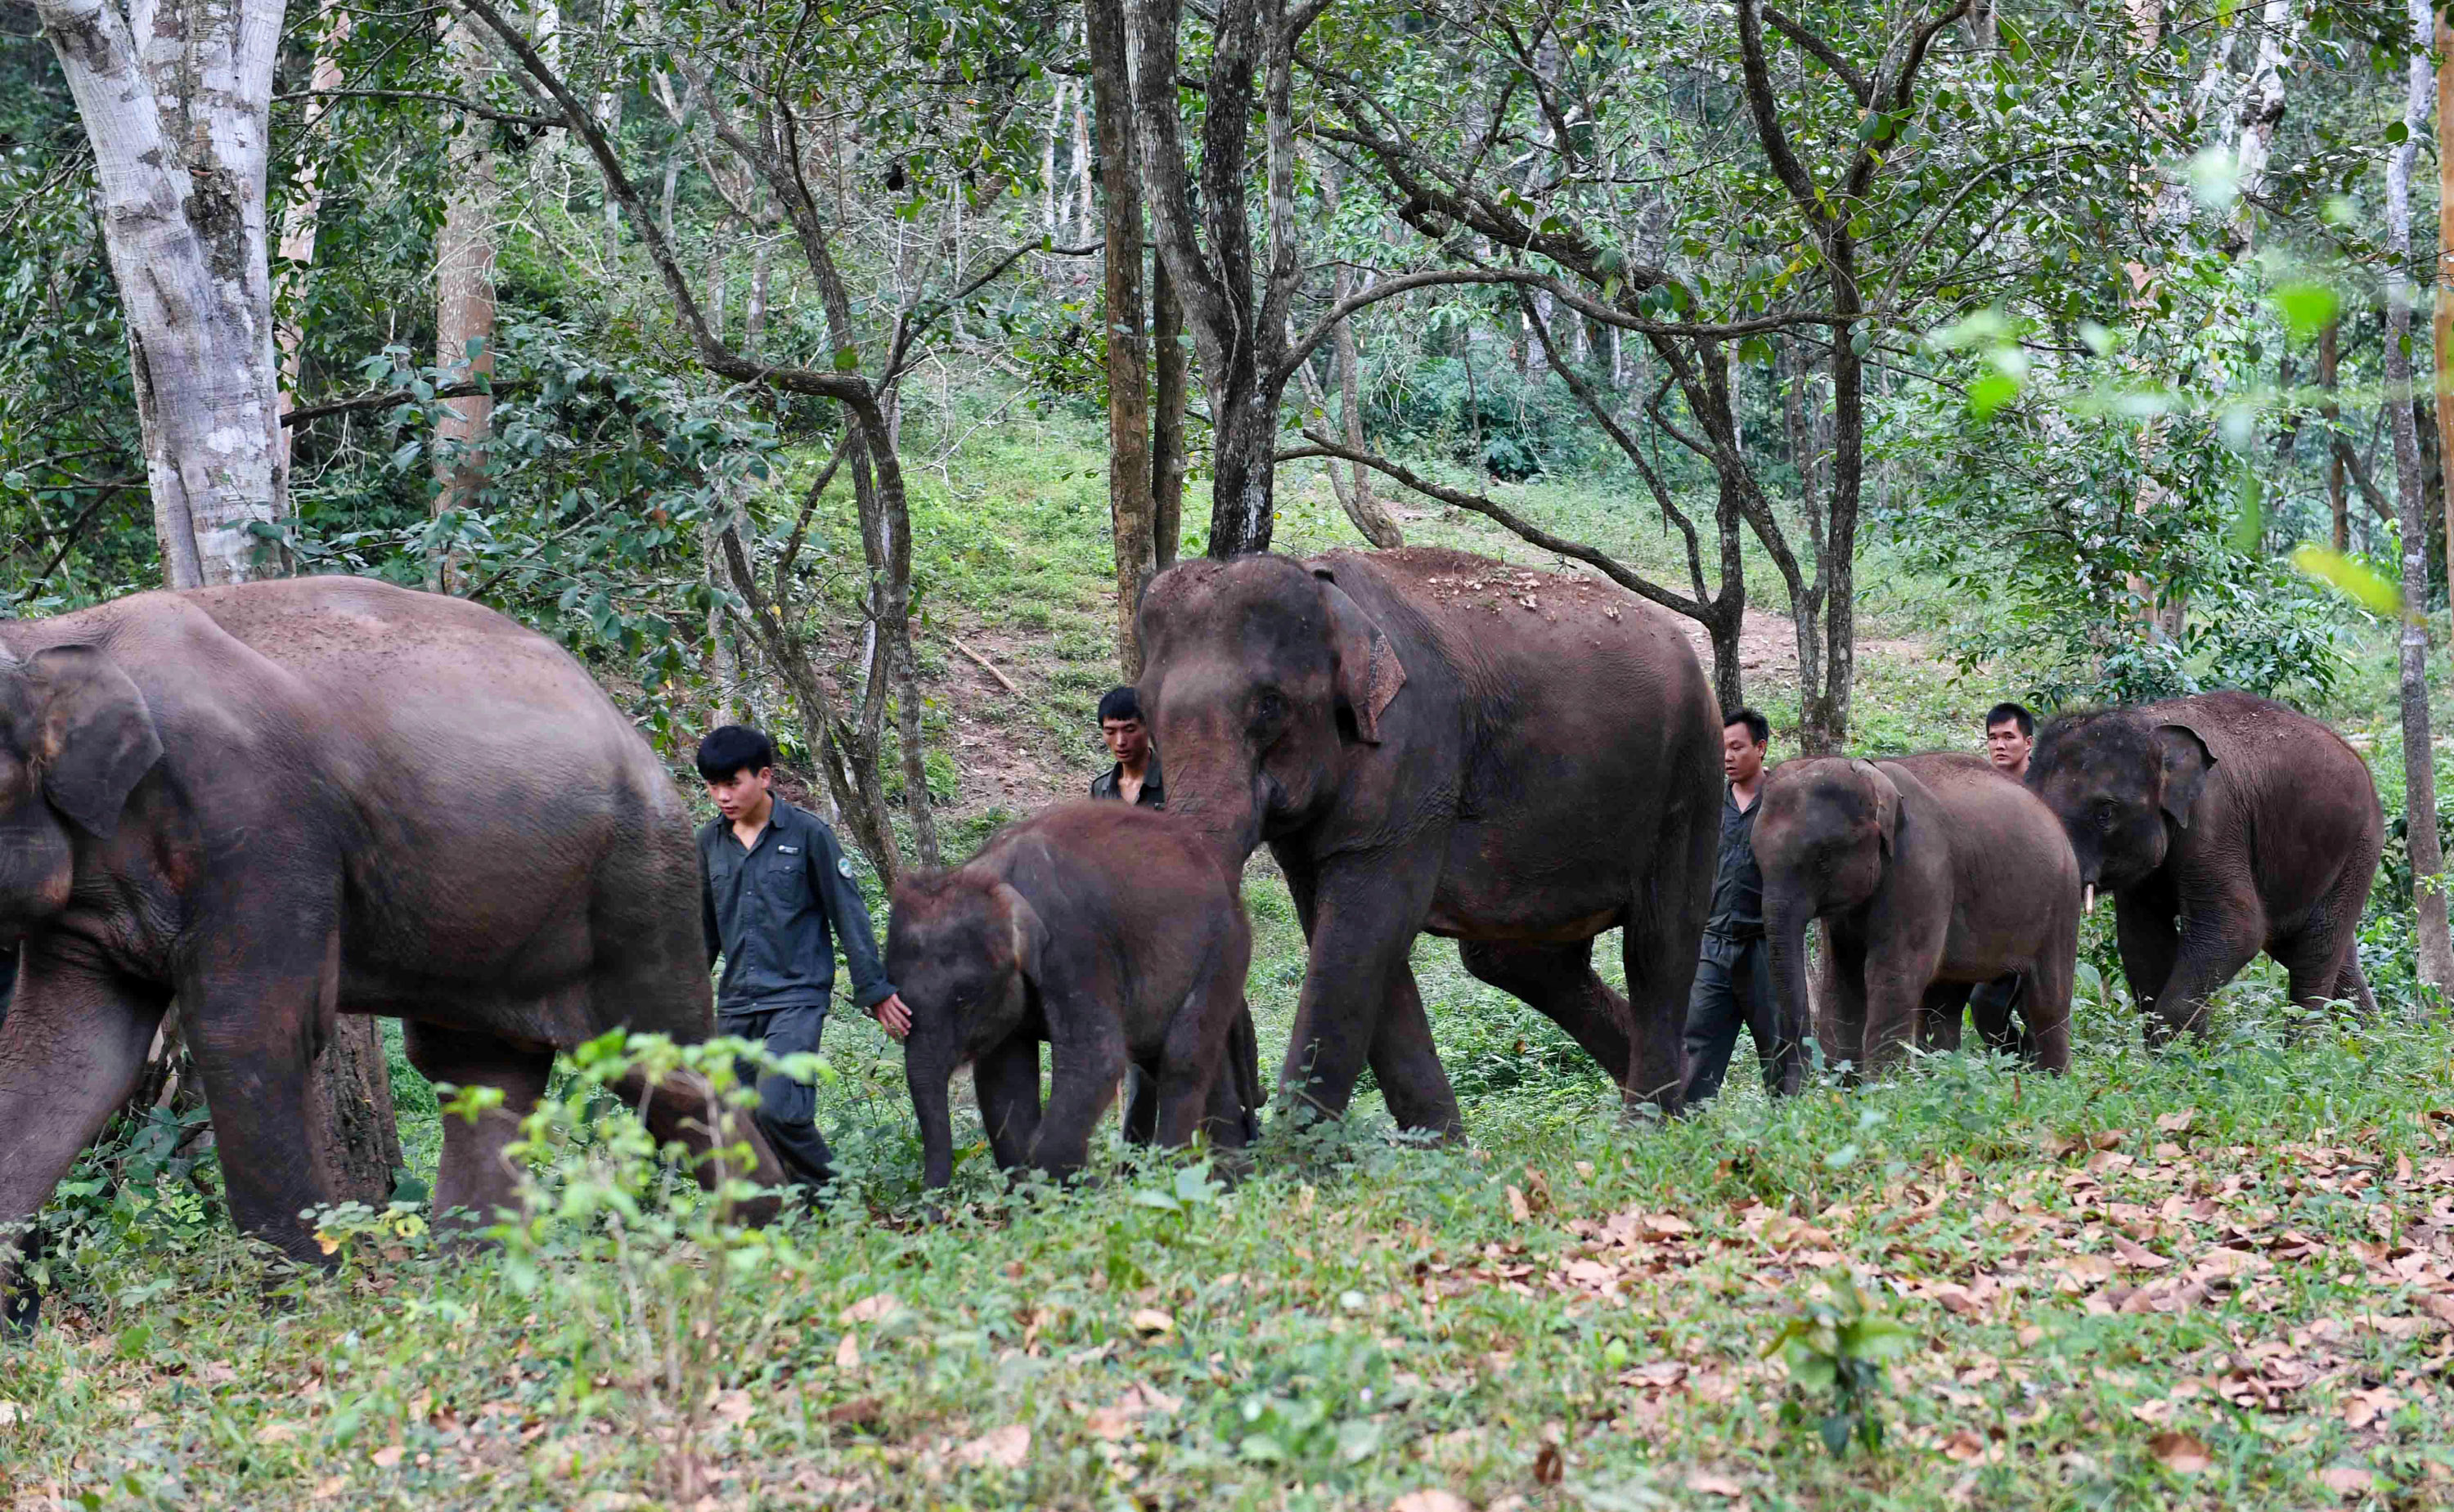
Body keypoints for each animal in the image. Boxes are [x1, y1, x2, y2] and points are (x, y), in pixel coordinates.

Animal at [0, 572, 775, 1315]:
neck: (60, 638)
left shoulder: (256, 821)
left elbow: (248, 1030)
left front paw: (306, 1303)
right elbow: (73, 1054)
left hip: (642, 877)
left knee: (662, 1063)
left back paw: (775, 1236)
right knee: (477, 1070)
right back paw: (479, 1276)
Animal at [888, 810, 1266, 1187]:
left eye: (964, 998)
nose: (930, 1199)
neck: (992, 873)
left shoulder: (1074, 944)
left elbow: (1096, 1061)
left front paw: (1076, 1186)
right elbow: (1002, 1079)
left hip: (1225, 950)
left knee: (1182, 1057)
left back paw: (1173, 1174)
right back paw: (1233, 1175)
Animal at [1139, 547, 1718, 1133]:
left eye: (1269, 704)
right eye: (1143, 711)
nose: (1246, 1116)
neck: (1322, 586)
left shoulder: (1413, 758)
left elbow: (1362, 935)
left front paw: (1297, 1154)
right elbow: (1357, 943)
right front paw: (1441, 1147)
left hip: (1690, 777)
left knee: (1659, 943)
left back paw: (1649, 1127)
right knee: (1516, 958)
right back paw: (1680, 1098)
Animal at [1757, 751, 2081, 1079]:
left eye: (1823, 858)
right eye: (1756, 858)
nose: (1797, 1084)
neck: (1871, 774)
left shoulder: (1922, 868)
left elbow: (1892, 972)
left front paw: (1882, 1085)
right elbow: (1844, 973)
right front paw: (1842, 1085)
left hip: (2062, 902)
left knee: (2047, 999)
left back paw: (2052, 1080)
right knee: (1944, 1002)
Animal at [2022, 687, 2385, 1035]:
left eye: (2105, 814)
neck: (2147, 724)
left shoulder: (2214, 821)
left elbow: (2237, 929)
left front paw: (2179, 1048)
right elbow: (2142, 939)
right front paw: (2184, 1047)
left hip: (2358, 847)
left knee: (2314, 949)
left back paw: (2303, 1047)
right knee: (2320, 949)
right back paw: (2370, 1039)